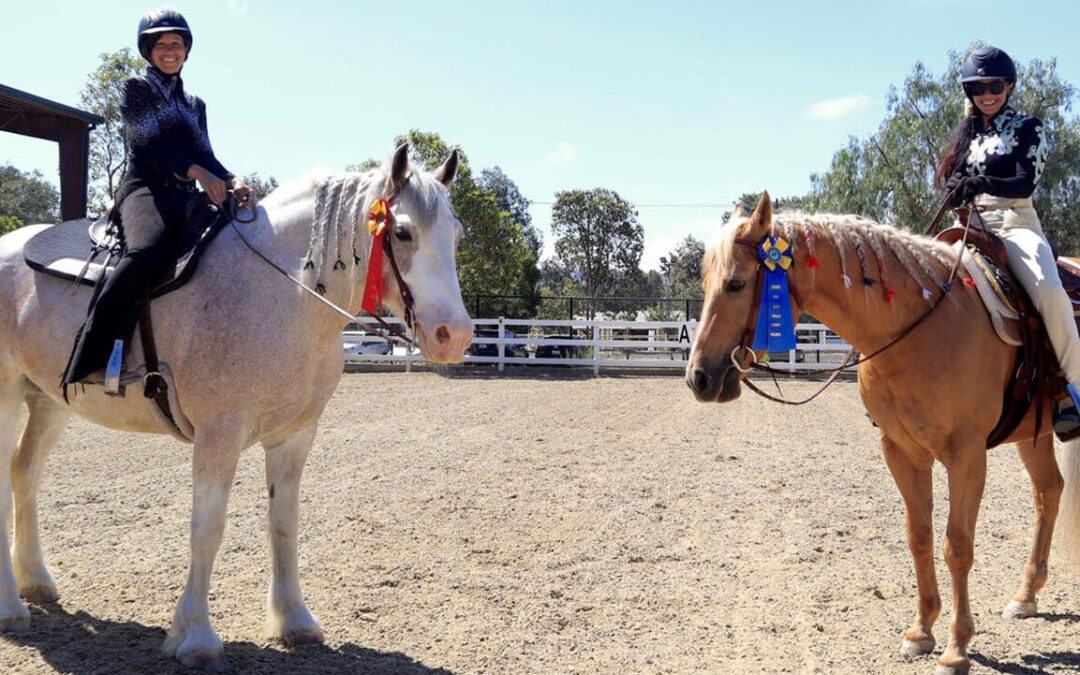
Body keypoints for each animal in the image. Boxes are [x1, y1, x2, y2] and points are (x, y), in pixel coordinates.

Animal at [0, 144, 473, 670]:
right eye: (403, 231)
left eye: (456, 235)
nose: (454, 336)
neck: (278, 294)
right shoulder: (218, 436)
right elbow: (207, 529)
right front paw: (196, 636)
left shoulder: (294, 437)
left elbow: (283, 524)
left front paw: (295, 620)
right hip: (6, 396)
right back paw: (9, 607)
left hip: (48, 401)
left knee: (25, 474)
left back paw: (36, 580)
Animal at [686, 193, 1080, 675]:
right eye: (707, 284)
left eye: (737, 284)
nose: (699, 378)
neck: (920, 325)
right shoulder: (901, 450)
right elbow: (920, 537)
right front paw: (921, 632)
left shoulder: (966, 455)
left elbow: (957, 545)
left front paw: (956, 648)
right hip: (1032, 435)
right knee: (1049, 492)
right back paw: (1024, 597)